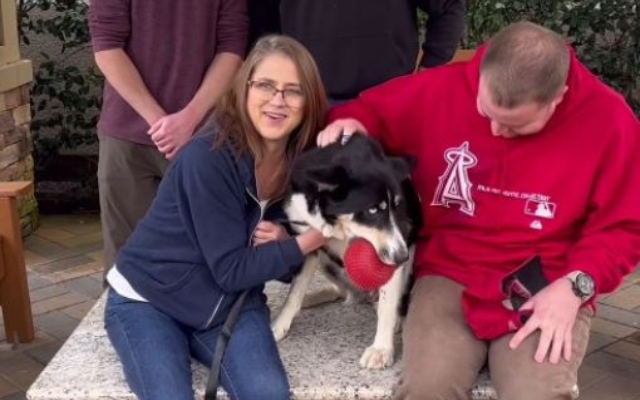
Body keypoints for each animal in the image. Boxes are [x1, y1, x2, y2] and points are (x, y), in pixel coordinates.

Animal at [272, 136, 422, 370]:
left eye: (398, 207)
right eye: (372, 209)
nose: (401, 257)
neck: (342, 226)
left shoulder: (400, 242)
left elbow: (387, 306)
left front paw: (381, 348)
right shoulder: (306, 242)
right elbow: (295, 291)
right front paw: (280, 324)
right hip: (327, 262)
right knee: (342, 291)